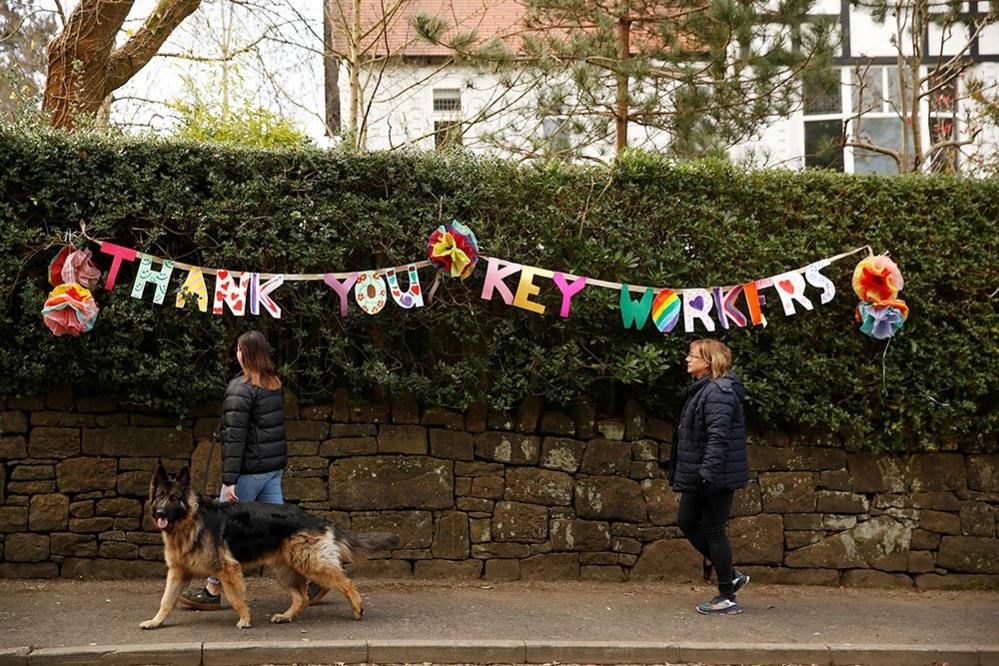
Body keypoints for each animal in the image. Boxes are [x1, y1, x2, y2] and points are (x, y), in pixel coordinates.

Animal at [141, 462, 398, 628]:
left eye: (174, 498)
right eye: (160, 496)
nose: (160, 513)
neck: (190, 521)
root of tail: (317, 519)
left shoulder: (228, 569)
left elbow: (235, 598)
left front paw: (245, 619)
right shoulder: (177, 573)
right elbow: (166, 601)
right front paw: (155, 621)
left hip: (311, 564)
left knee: (346, 582)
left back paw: (357, 607)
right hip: (285, 570)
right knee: (302, 598)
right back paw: (286, 616)